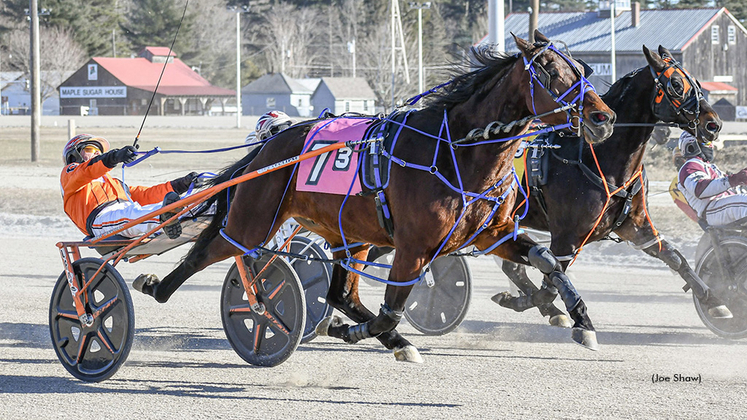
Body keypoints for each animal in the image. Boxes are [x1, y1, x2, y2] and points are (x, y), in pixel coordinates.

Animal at [136, 32, 620, 360]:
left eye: (582, 69)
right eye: (551, 72)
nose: (604, 117)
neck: (454, 151)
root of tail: (272, 143)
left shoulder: (491, 233)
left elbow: (550, 261)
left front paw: (581, 321)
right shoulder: (413, 247)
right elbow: (390, 309)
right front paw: (357, 333)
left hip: (351, 237)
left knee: (340, 295)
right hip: (255, 219)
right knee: (209, 252)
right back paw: (157, 286)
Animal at [494, 46, 732, 326]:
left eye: (696, 82)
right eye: (675, 84)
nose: (713, 124)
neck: (595, 156)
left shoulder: (636, 226)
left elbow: (674, 257)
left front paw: (715, 301)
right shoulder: (565, 238)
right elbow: (551, 283)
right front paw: (525, 302)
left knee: (512, 266)